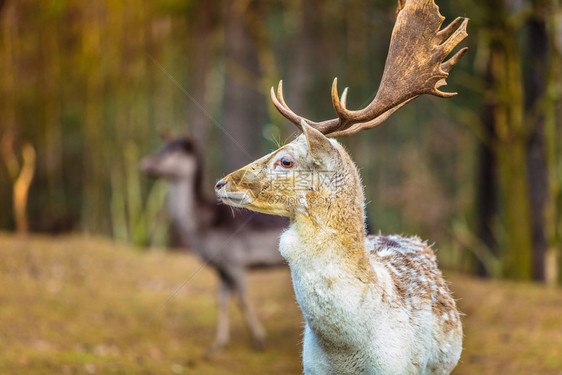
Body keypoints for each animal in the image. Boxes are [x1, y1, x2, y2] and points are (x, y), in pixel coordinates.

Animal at [140, 137, 288, 354]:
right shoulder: (221, 267)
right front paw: (218, 344)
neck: (202, 229)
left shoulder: (235, 261)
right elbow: (221, 301)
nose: (145, 164)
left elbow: (243, 299)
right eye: (162, 146)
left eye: (174, 151)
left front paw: (259, 340)